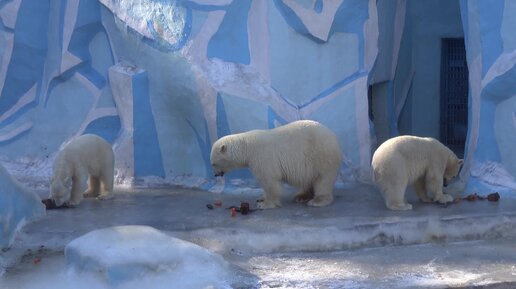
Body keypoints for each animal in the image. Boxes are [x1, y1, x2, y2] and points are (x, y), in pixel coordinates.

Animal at [210, 118, 342, 208]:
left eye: (213, 163)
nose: (216, 174)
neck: (247, 147)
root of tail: (332, 135)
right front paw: (260, 198)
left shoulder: (262, 157)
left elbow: (269, 180)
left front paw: (265, 204)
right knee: (307, 179)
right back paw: (300, 196)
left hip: (321, 156)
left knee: (323, 179)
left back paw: (317, 200)